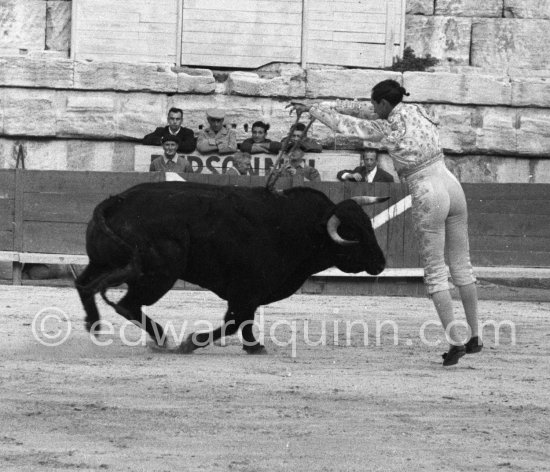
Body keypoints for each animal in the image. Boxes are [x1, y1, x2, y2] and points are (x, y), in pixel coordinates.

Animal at [76, 183, 388, 352]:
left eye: (368, 225)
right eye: (353, 233)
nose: (382, 263)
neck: (301, 227)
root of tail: (117, 201)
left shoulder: (248, 294)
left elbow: (243, 322)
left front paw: (255, 346)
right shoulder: (246, 290)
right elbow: (235, 322)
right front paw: (192, 342)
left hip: (101, 262)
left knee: (84, 285)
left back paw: (94, 323)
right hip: (159, 276)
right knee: (127, 304)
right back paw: (163, 339)